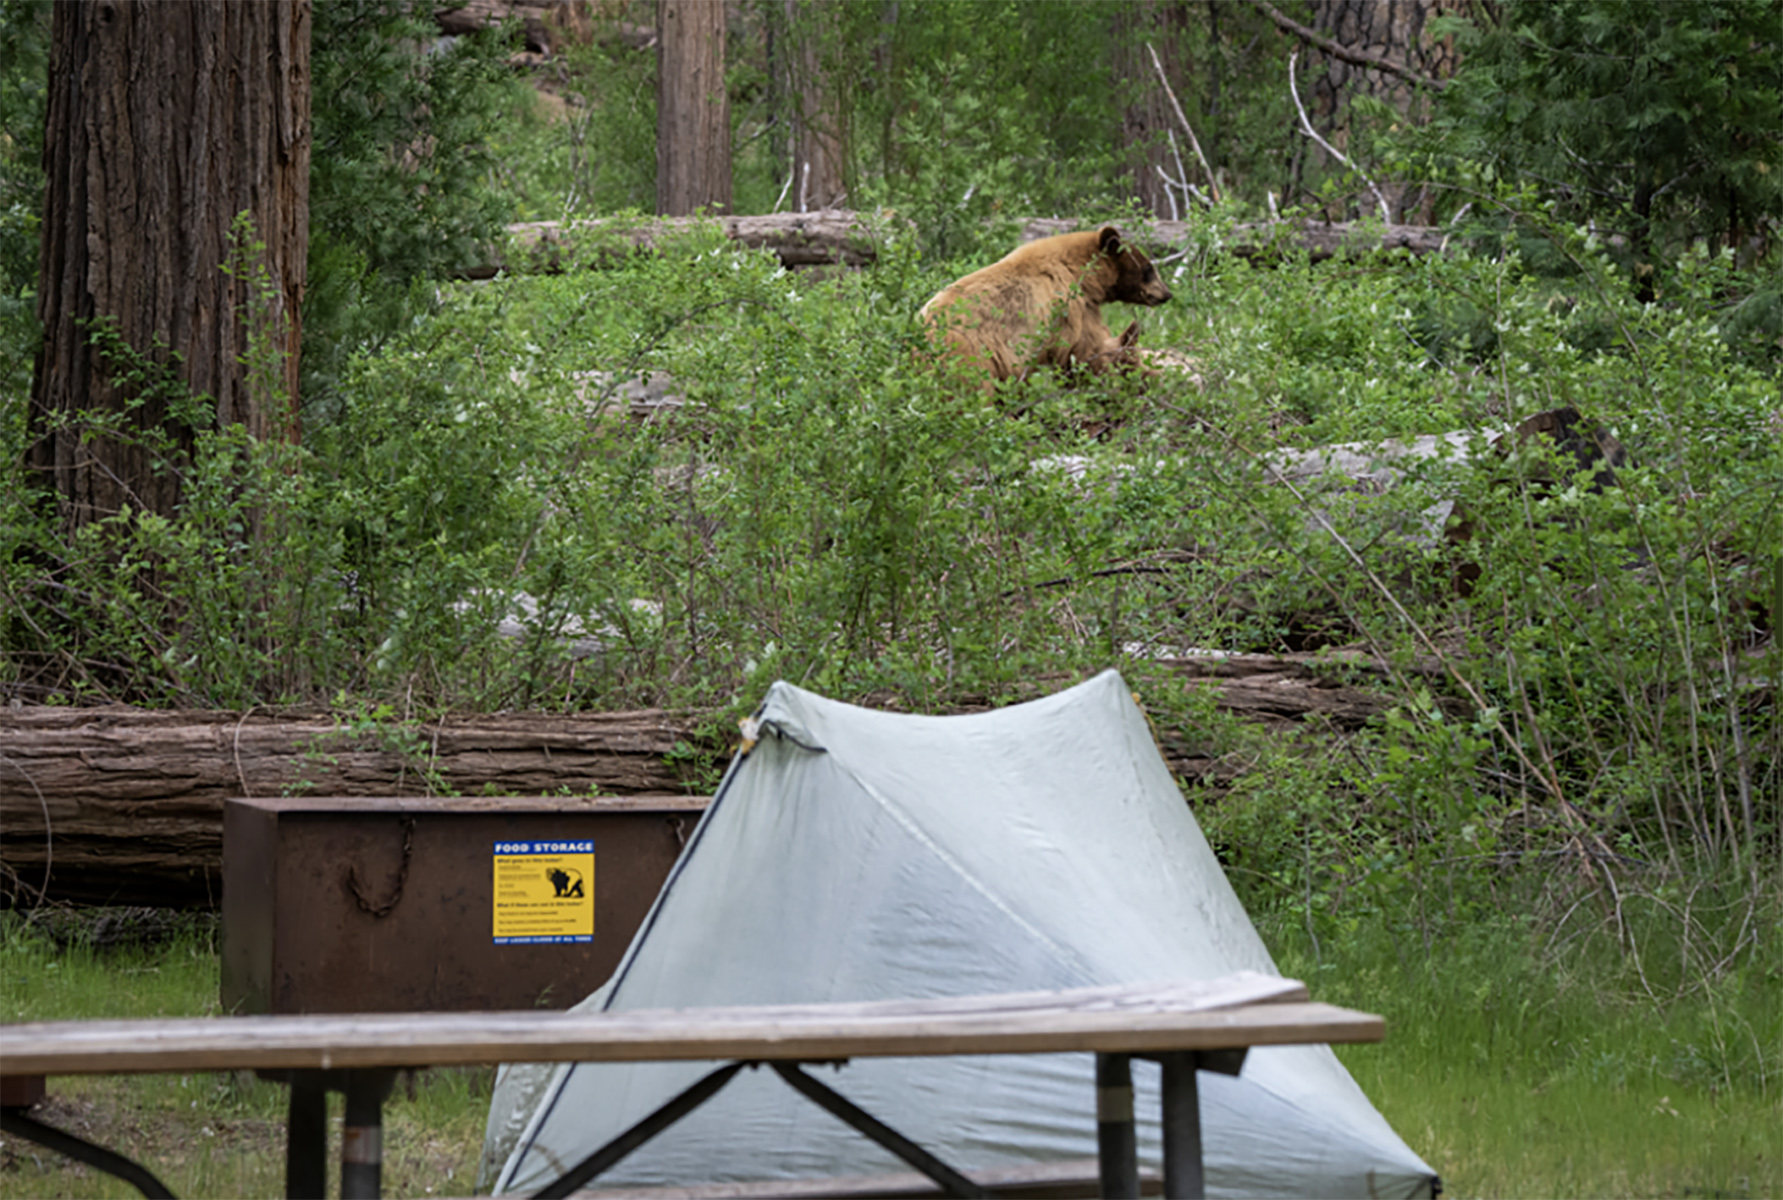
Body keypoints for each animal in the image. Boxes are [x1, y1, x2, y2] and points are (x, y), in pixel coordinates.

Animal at [918, 226, 1172, 386]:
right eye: (1149, 268)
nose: (1167, 294)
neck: (1079, 272)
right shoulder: (1071, 306)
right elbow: (1083, 349)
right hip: (968, 354)